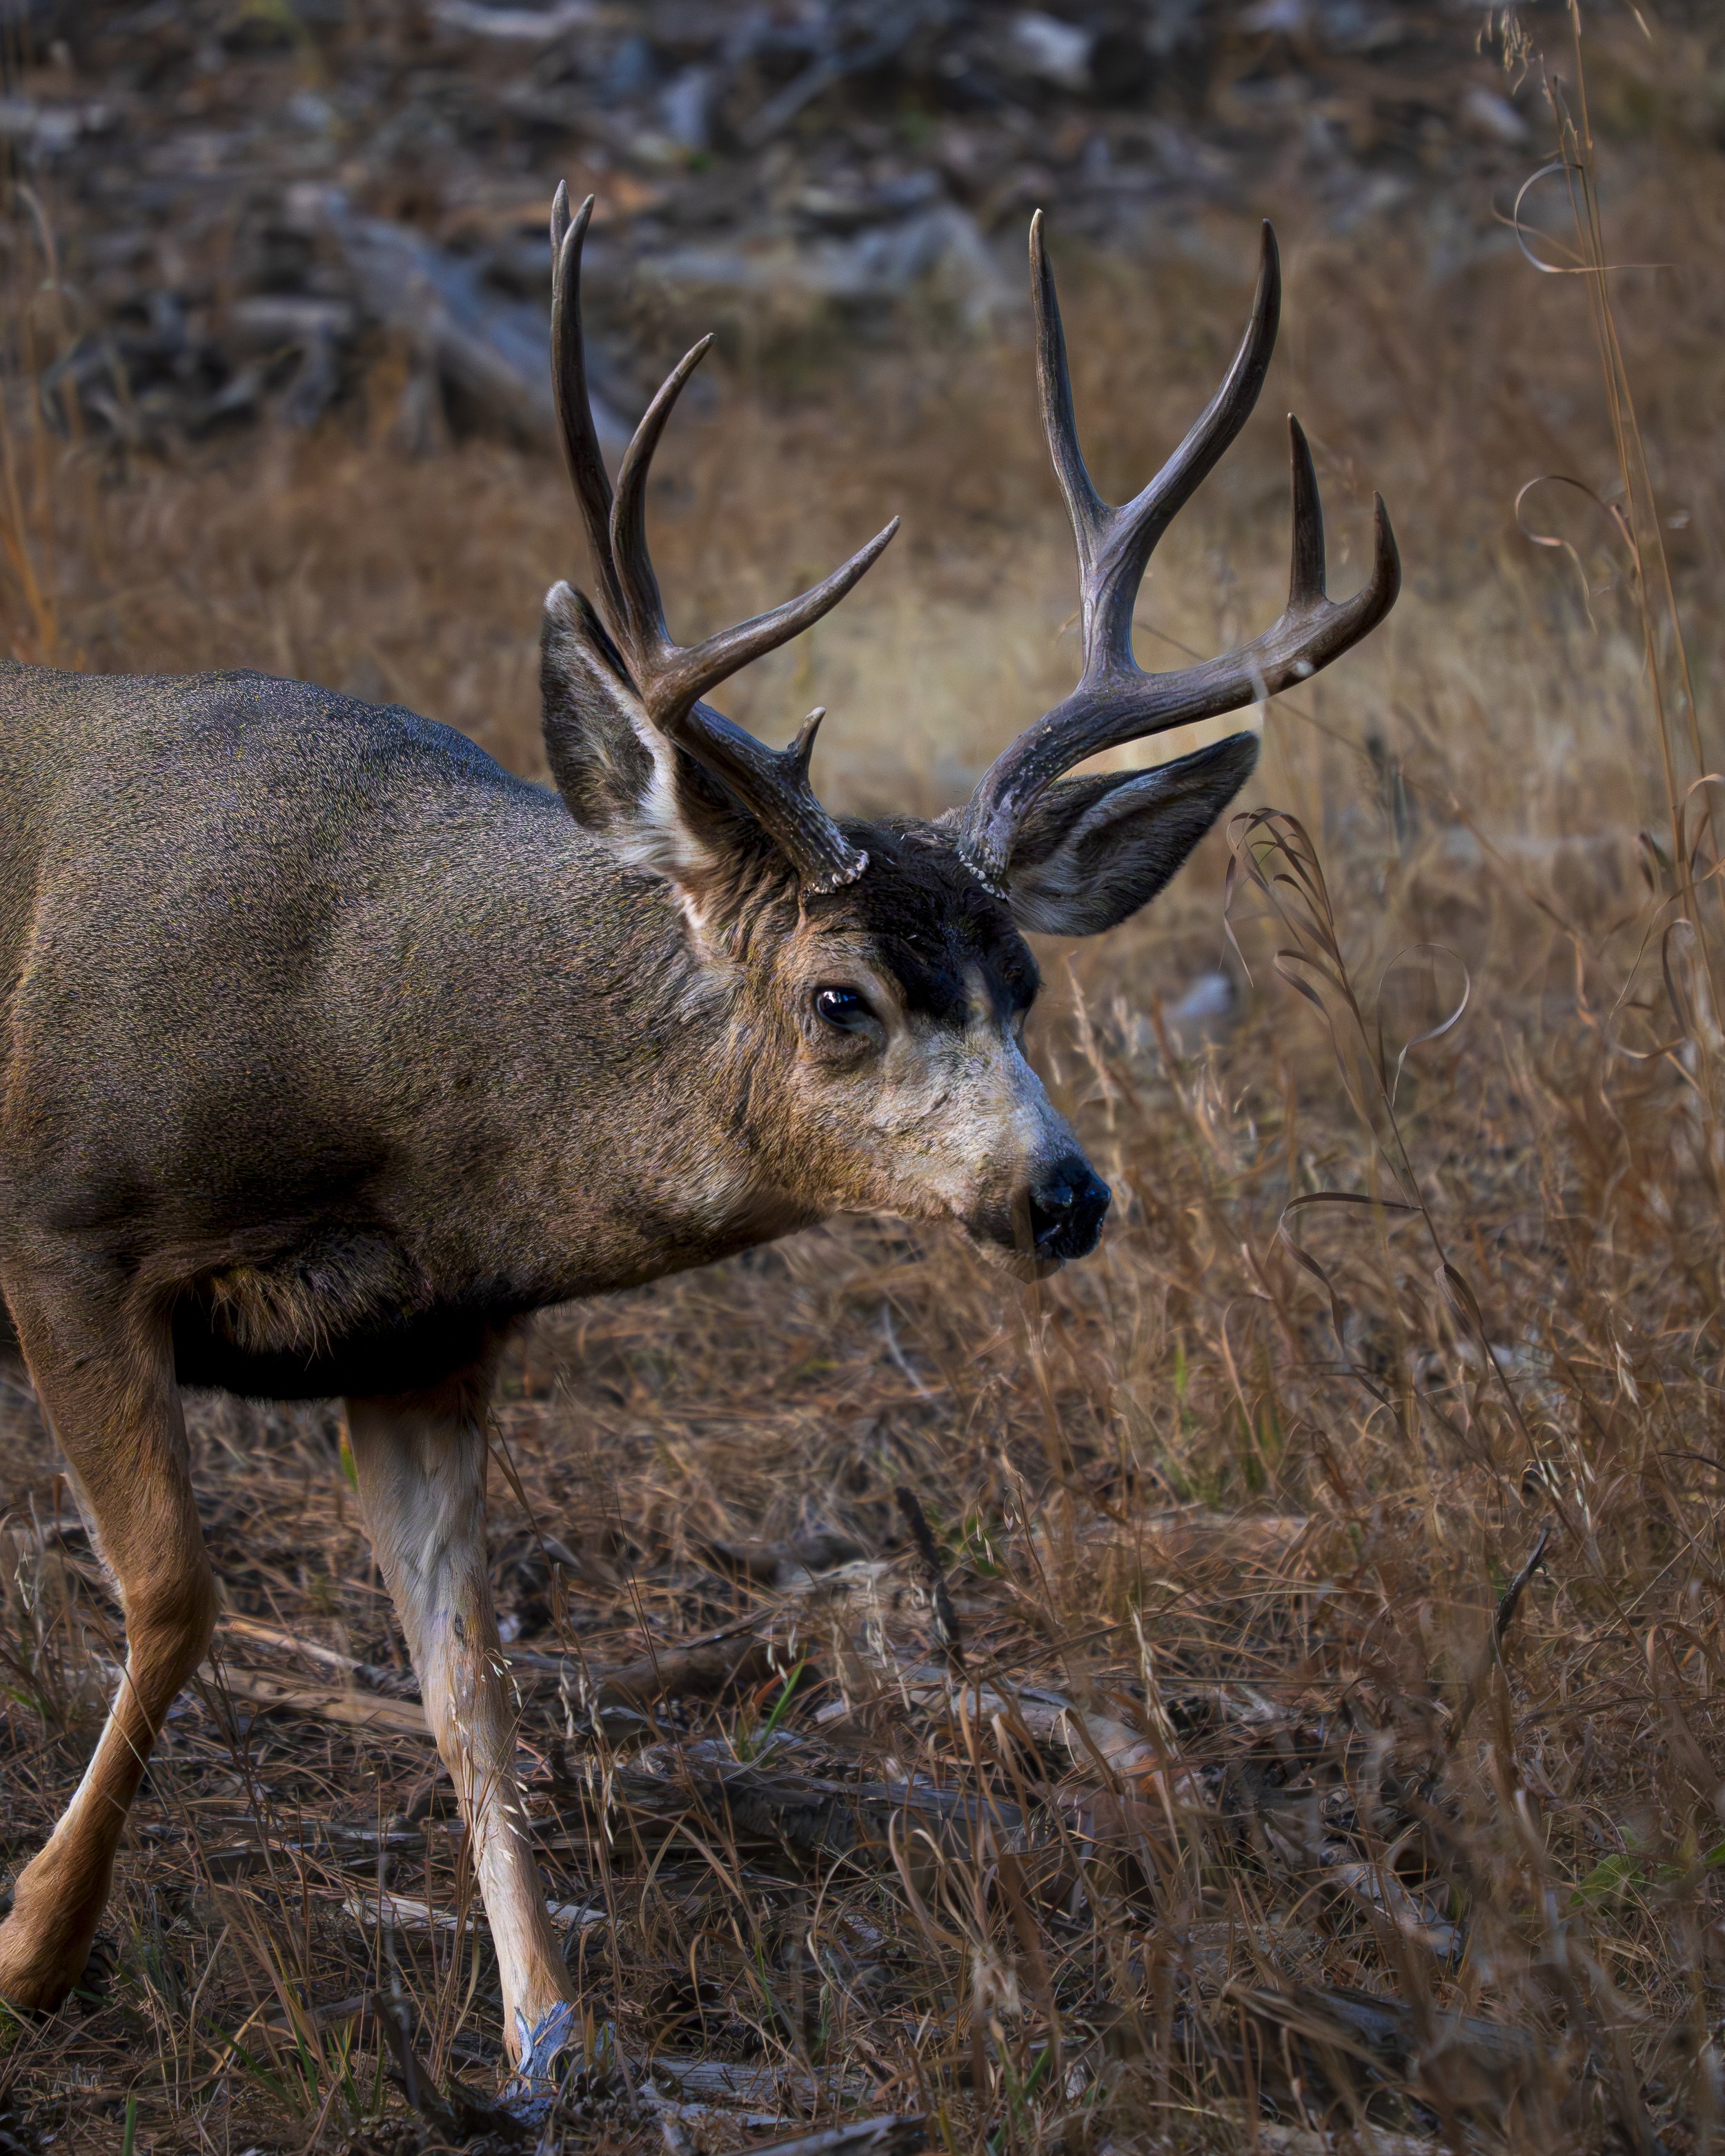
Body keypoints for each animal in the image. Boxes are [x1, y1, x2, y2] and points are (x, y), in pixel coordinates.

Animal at [0, 189, 1397, 2095]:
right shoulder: (62, 1219)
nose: (1063, 1191)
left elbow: (471, 1679)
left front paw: (546, 2030)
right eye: (838, 995)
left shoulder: (425, 1341)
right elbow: (173, 1593)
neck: (369, 1039)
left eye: (1026, 977)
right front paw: (34, 1942)